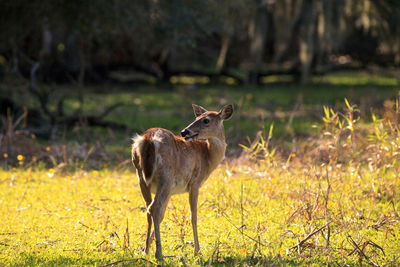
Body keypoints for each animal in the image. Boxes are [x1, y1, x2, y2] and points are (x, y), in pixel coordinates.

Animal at [131, 104, 233, 260]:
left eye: (206, 120)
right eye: (197, 118)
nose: (185, 131)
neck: (207, 157)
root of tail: (148, 139)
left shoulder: (172, 191)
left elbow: (162, 216)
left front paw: (145, 247)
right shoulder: (195, 182)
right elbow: (193, 216)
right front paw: (197, 251)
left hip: (142, 177)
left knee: (149, 209)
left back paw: (146, 251)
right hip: (166, 176)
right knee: (154, 207)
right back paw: (158, 253)